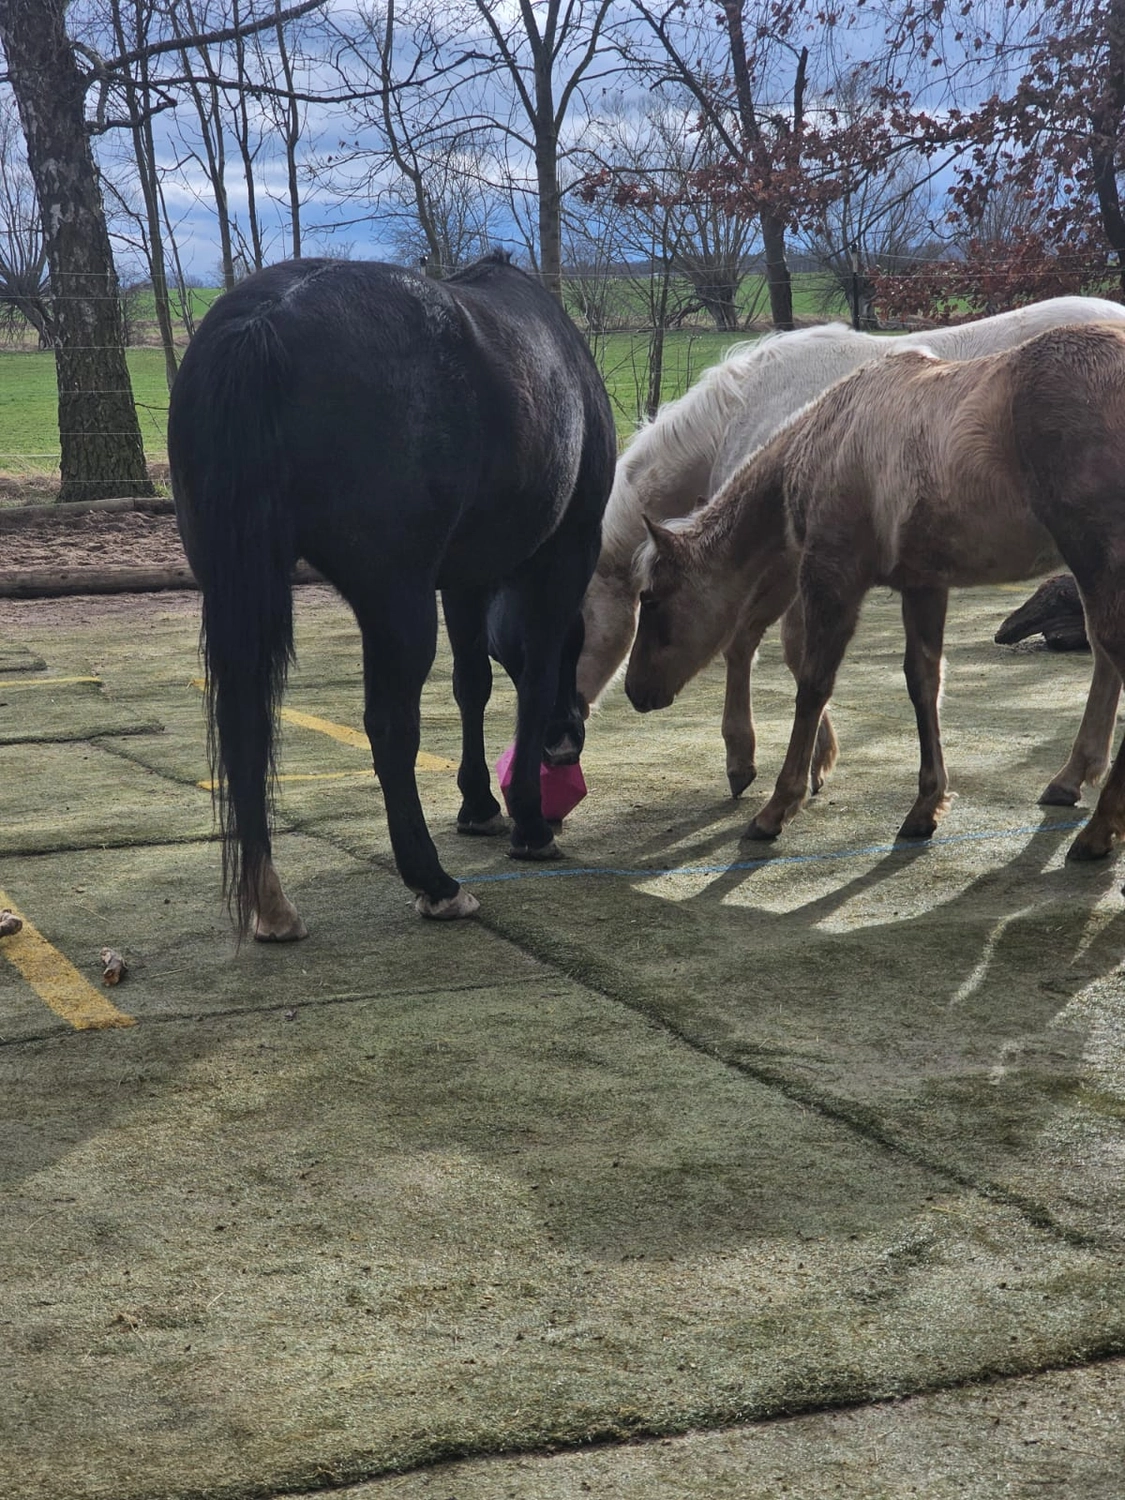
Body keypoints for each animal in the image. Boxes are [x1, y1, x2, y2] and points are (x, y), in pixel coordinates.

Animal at [169, 252, 615, 940]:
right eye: (579, 635)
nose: (566, 743)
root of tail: (263, 324)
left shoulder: (464, 577)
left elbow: (471, 686)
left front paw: (478, 805)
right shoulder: (562, 555)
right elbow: (532, 681)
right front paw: (528, 821)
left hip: (238, 583)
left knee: (247, 722)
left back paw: (271, 903)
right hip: (394, 598)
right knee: (389, 726)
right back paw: (434, 883)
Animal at [580, 297, 1125, 797]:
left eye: (580, 621)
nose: (573, 713)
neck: (745, 415)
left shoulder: (788, 560)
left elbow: (774, 647)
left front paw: (769, 760)